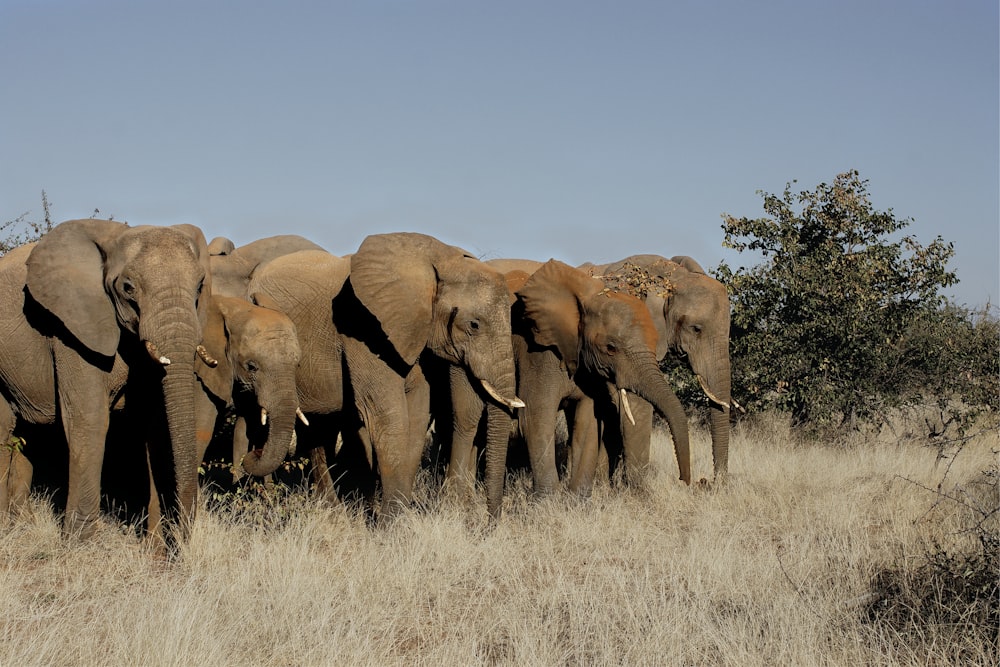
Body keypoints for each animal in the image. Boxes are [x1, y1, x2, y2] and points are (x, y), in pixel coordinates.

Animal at [0, 219, 214, 544]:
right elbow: (90, 418)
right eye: (128, 288)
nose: (183, 539)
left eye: (200, 285)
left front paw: (154, 548)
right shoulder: (72, 329)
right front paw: (82, 543)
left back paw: (21, 523)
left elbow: (156, 424)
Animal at [247, 234, 524, 520]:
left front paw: (400, 516)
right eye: (474, 325)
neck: (437, 260)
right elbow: (387, 414)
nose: (489, 521)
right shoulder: (362, 328)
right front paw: (390, 522)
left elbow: (416, 413)